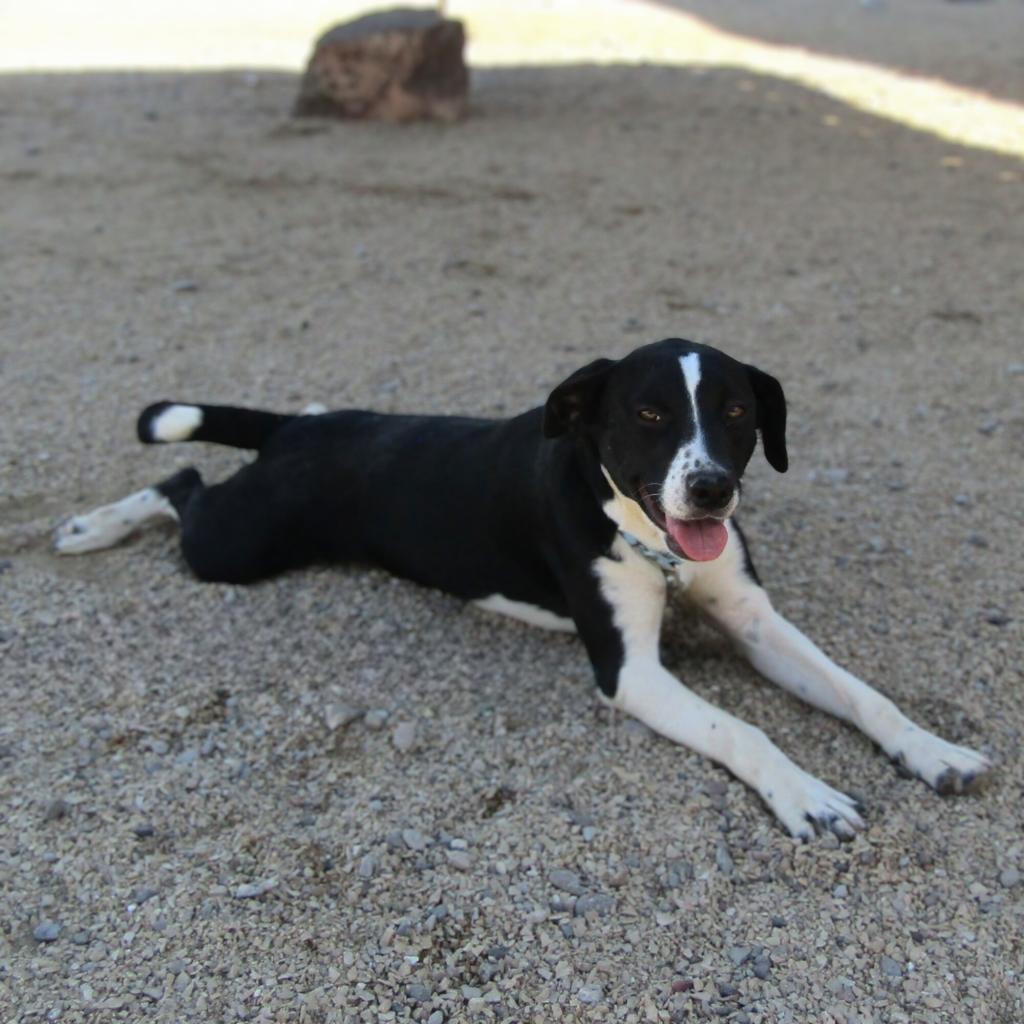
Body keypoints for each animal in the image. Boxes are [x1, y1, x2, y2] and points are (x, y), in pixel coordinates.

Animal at [58, 339, 991, 835]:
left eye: (736, 414)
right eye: (649, 415)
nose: (712, 490)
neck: (645, 534)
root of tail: (296, 428)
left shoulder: (757, 623)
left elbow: (863, 694)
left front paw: (931, 749)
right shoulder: (631, 673)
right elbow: (745, 730)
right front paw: (805, 793)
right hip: (238, 546)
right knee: (179, 480)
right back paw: (88, 528)